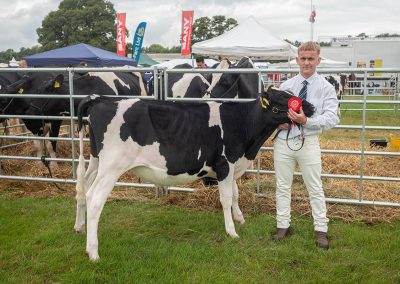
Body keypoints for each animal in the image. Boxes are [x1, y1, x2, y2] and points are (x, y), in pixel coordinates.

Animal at [73, 86, 314, 260]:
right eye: (283, 97)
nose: (310, 107)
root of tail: (101, 99)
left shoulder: (232, 166)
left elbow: (236, 194)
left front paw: (240, 219)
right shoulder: (225, 164)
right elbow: (226, 198)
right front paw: (231, 231)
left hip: (96, 161)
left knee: (82, 190)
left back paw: (79, 228)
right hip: (111, 166)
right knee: (95, 199)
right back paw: (93, 252)